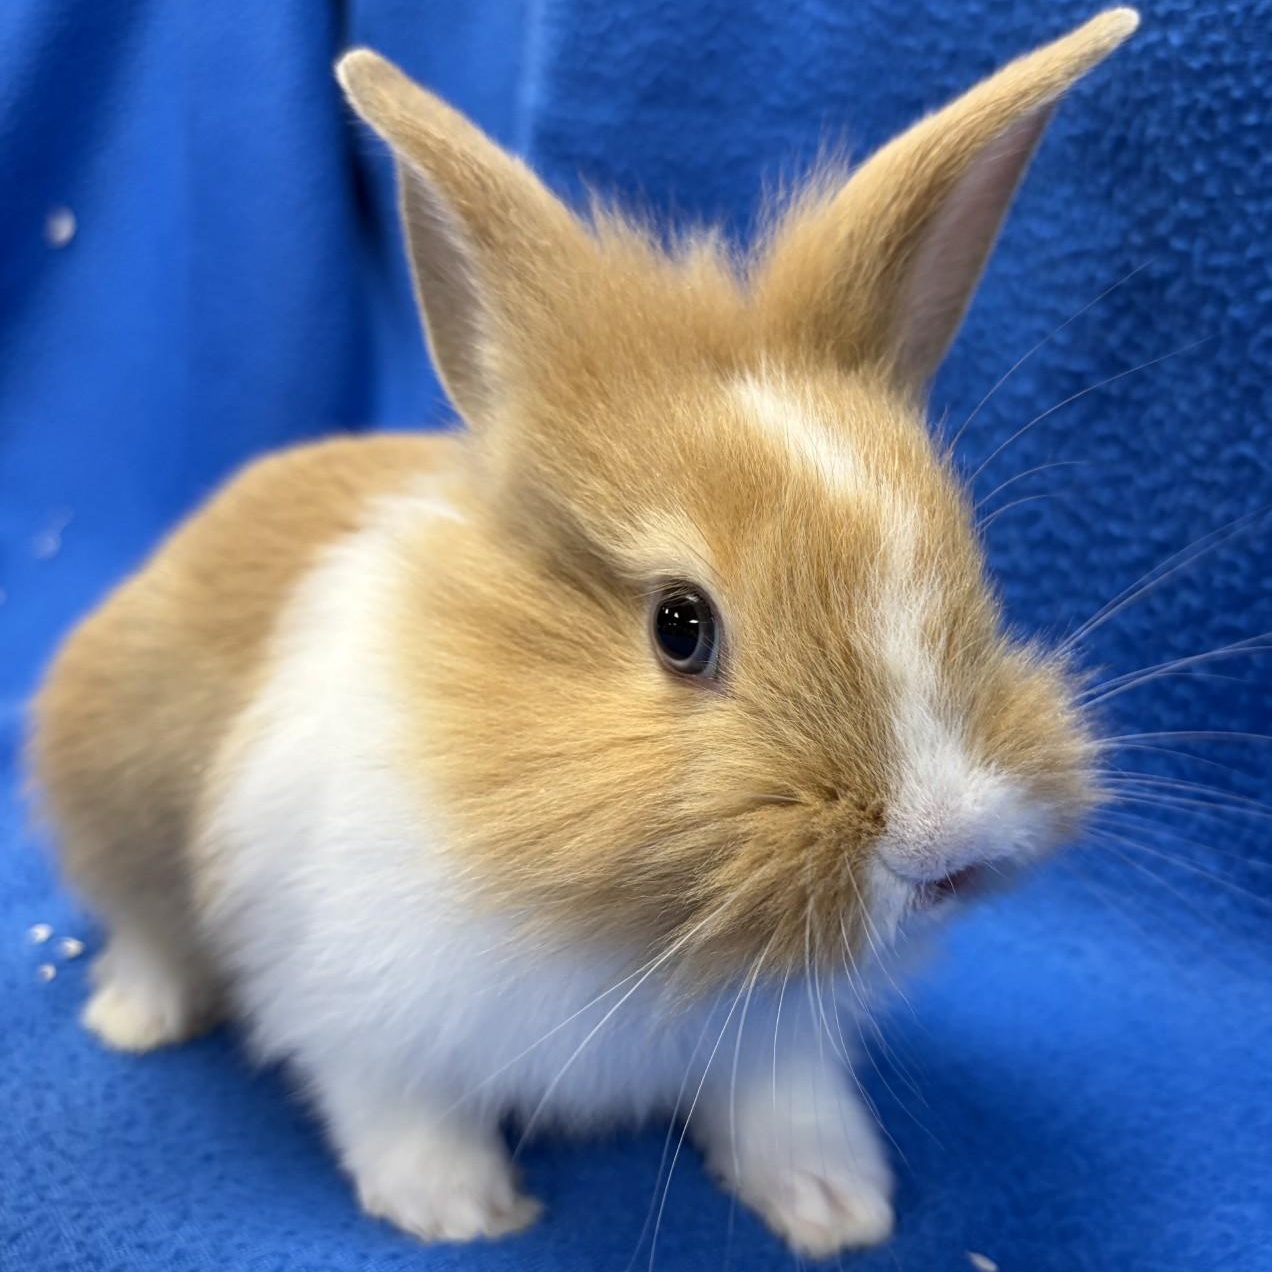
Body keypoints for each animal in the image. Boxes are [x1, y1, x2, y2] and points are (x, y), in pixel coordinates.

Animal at [27, 9, 1138, 1258]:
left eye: (967, 569)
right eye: (680, 626)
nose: (949, 850)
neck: (631, 928)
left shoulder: (774, 1039)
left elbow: (786, 1107)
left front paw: (840, 1207)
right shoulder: (353, 1006)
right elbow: (396, 1109)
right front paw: (462, 1212)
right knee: (145, 926)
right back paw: (136, 1017)